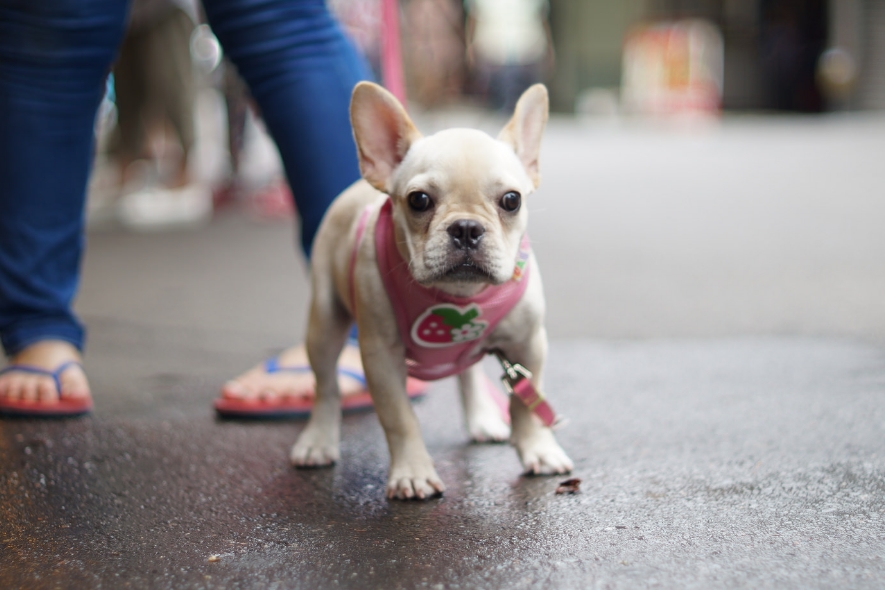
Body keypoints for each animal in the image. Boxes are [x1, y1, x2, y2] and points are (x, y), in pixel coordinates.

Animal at [290, 82, 572, 500]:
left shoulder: (528, 347)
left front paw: (538, 449)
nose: (467, 227)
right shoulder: (382, 357)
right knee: (325, 387)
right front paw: (412, 473)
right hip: (324, 324)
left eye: (511, 200)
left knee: (467, 373)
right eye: (419, 200)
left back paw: (482, 419)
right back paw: (317, 441)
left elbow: (525, 404)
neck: (457, 295)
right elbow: (400, 417)